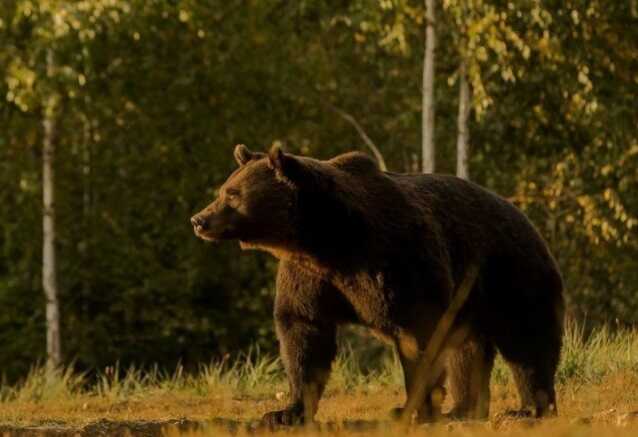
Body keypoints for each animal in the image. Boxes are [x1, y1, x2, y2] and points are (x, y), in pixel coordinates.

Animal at [190, 145, 564, 424]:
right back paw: (464, 409)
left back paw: (529, 408)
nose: (199, 219)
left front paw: (412, 408)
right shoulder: (309, 276)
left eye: (233, 194)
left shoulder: (396, 260)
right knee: (469, 349)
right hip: (471, 298)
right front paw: (285, 412)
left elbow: (419, 335)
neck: (327, 239)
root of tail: (523, 216)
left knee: (527, 340)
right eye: (224, 190)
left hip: (510, 272)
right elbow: (303, 331)